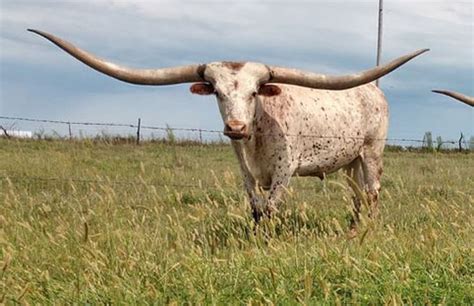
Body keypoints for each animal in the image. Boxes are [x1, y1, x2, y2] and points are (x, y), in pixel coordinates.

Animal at [29, 29, 430, 230]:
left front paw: (267, 240)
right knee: (357, 195)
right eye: (218, 93)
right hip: (349, 161)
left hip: (372, 153)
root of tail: (373, 90)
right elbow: (254, 207)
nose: (235, 127)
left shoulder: (285, 171)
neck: (259, 130)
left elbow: (270, 208)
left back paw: (366, 232)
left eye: (254, 92)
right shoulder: (245, 171)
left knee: (373, 193)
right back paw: (353, 227)